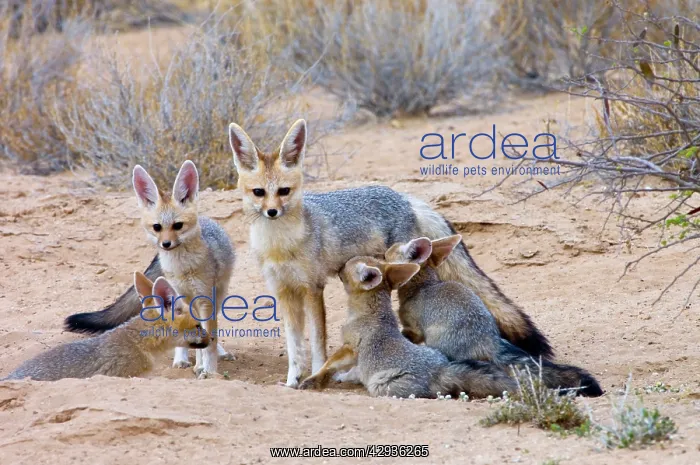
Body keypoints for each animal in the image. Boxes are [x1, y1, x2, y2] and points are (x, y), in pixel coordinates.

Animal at [63, 160, 235, 378]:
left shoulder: (205, 299)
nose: (166, 244)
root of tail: (207, 220)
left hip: (218, 295)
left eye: (178, 225)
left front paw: (209, 369)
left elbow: (208, 339)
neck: (182, 268)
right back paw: (183, 359)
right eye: (157, 227)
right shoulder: (182, 297)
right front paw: (197, 363)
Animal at [297, 256, 518, 398]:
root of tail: (441, 369)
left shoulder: (350, 348)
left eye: (345, 267)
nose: (337, 267)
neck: (368, 312)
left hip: (380, 385)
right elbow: (347, 369)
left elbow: (328, 364)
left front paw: (314, 379)